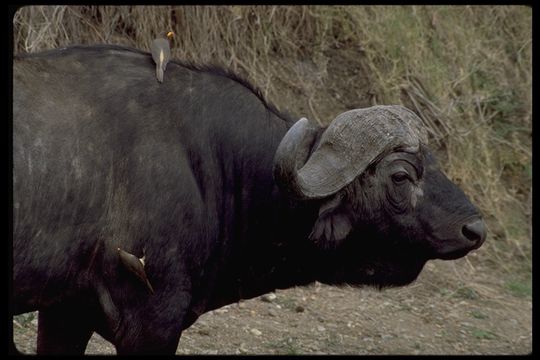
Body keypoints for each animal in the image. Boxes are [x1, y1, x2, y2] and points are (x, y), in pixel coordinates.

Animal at [11, 45, 486, 354]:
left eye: (434, 162)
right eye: (401, 176)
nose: (475, 228)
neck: (207, 161)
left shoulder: (64, 314)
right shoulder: (151, 322)